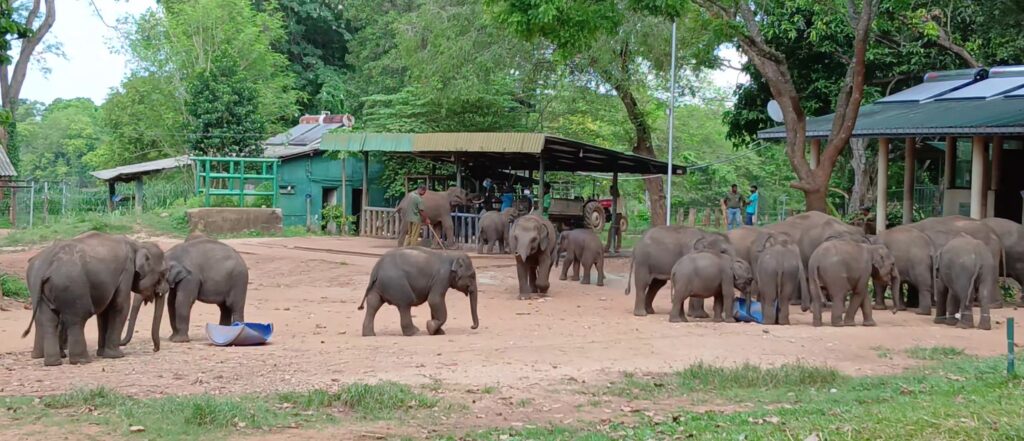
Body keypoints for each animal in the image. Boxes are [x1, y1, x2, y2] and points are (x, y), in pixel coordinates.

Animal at [22, 232, 168, 366]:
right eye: (163, 273)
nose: (155, 349)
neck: (137, 244)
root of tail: (46, 266)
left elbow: (104, 311)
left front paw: (102, 353)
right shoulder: (126, 271)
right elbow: (120, 306)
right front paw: (116, 355)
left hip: (38, 288)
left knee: (48, 320)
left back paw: (53, 362)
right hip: (72, 286)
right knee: (77, 319)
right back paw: (82, 360)